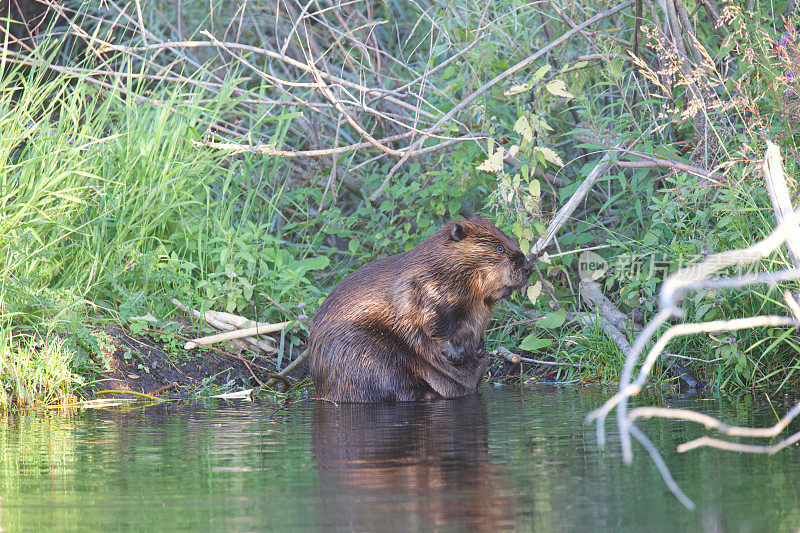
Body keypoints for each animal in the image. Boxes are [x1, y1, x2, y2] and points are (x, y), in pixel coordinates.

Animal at [310, 214, 532, 402]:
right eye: (499, 248)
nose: (528, 268)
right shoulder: (420, 286)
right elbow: (433, 322)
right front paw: (455, 353)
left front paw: (479, 348)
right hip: (368, 355)